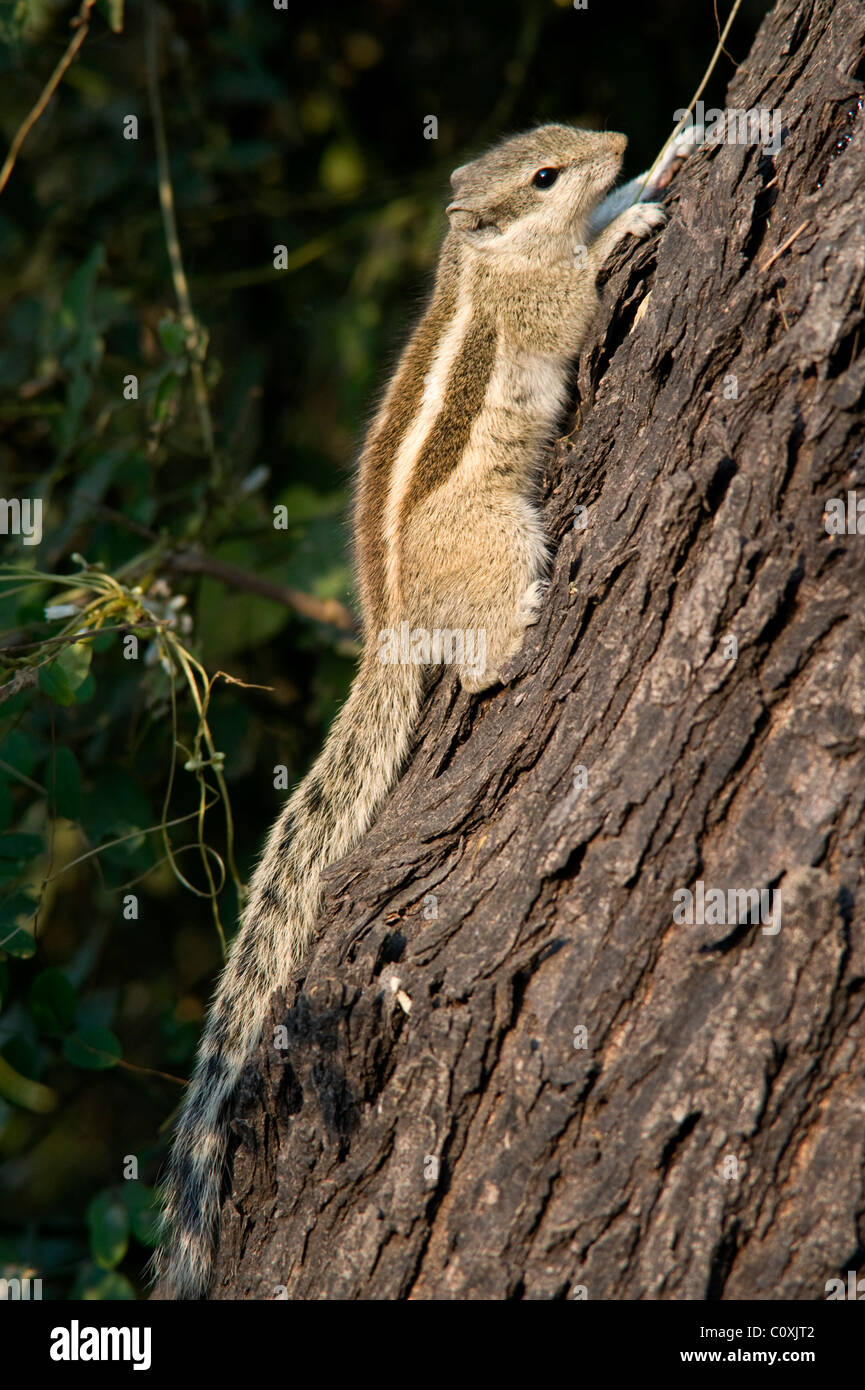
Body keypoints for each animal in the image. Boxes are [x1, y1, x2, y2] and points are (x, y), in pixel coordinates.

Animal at [154, 122, 698, 1301]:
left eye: (561, 143)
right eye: (541, 174)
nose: (612, 141)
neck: (483, 257)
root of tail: (393, 622)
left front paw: (664, 154)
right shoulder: (539, 303)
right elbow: (579, 293)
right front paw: (633, 211)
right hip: (495, 534)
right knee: (484, 663)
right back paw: (526, 622)